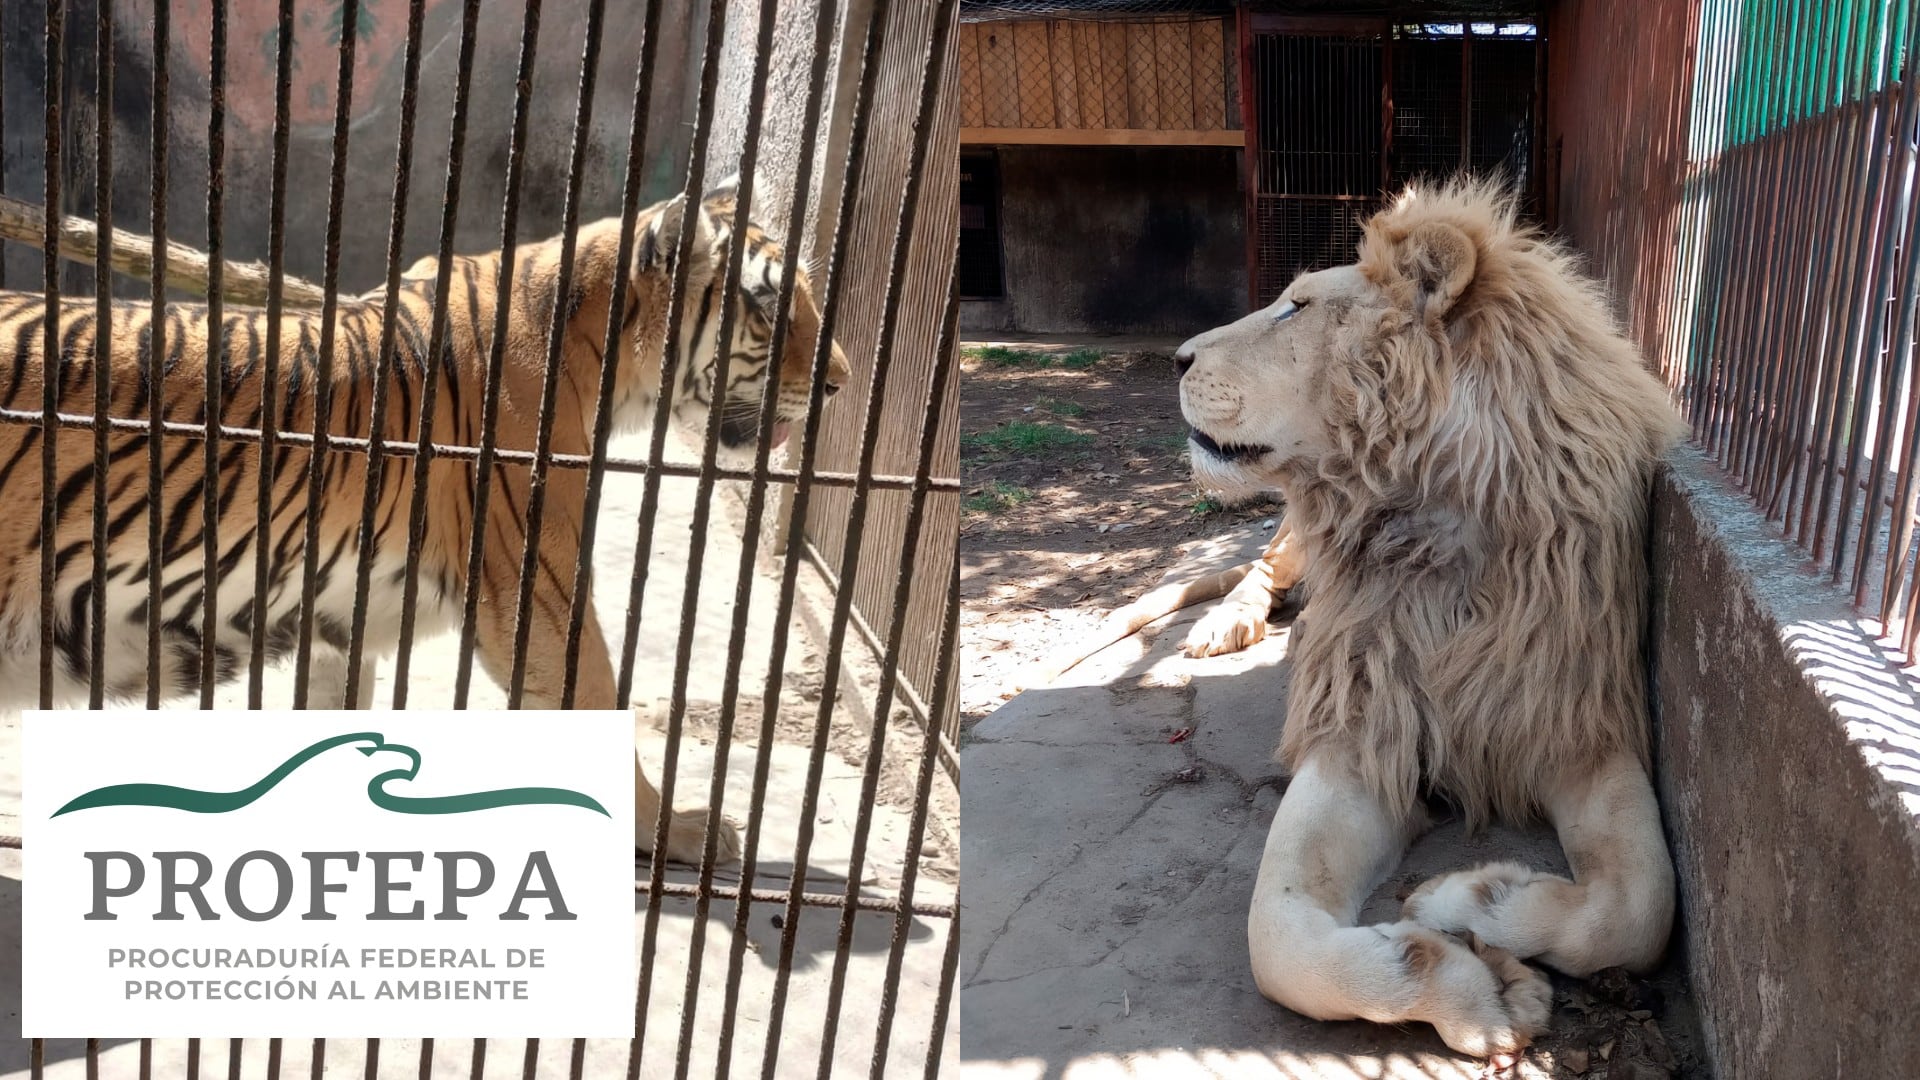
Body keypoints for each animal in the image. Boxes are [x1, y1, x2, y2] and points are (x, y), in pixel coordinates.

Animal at [0, 178, 852, 864]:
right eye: (772, 307)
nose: (841, 382)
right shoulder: (537, 586)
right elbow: (596, 695)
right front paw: (673, 829)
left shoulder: (334, 605)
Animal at [1174, 180, 1686, 1060]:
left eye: (1296, 307)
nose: (1175, 358)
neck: (1437, 537)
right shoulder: (1359, 730)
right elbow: (1277, 937)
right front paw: (1471, 991)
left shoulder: (1582, 726)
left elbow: (1639, 904)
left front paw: (1473, 904)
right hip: (1287, 541)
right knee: (1261, 566)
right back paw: (1229, 625)